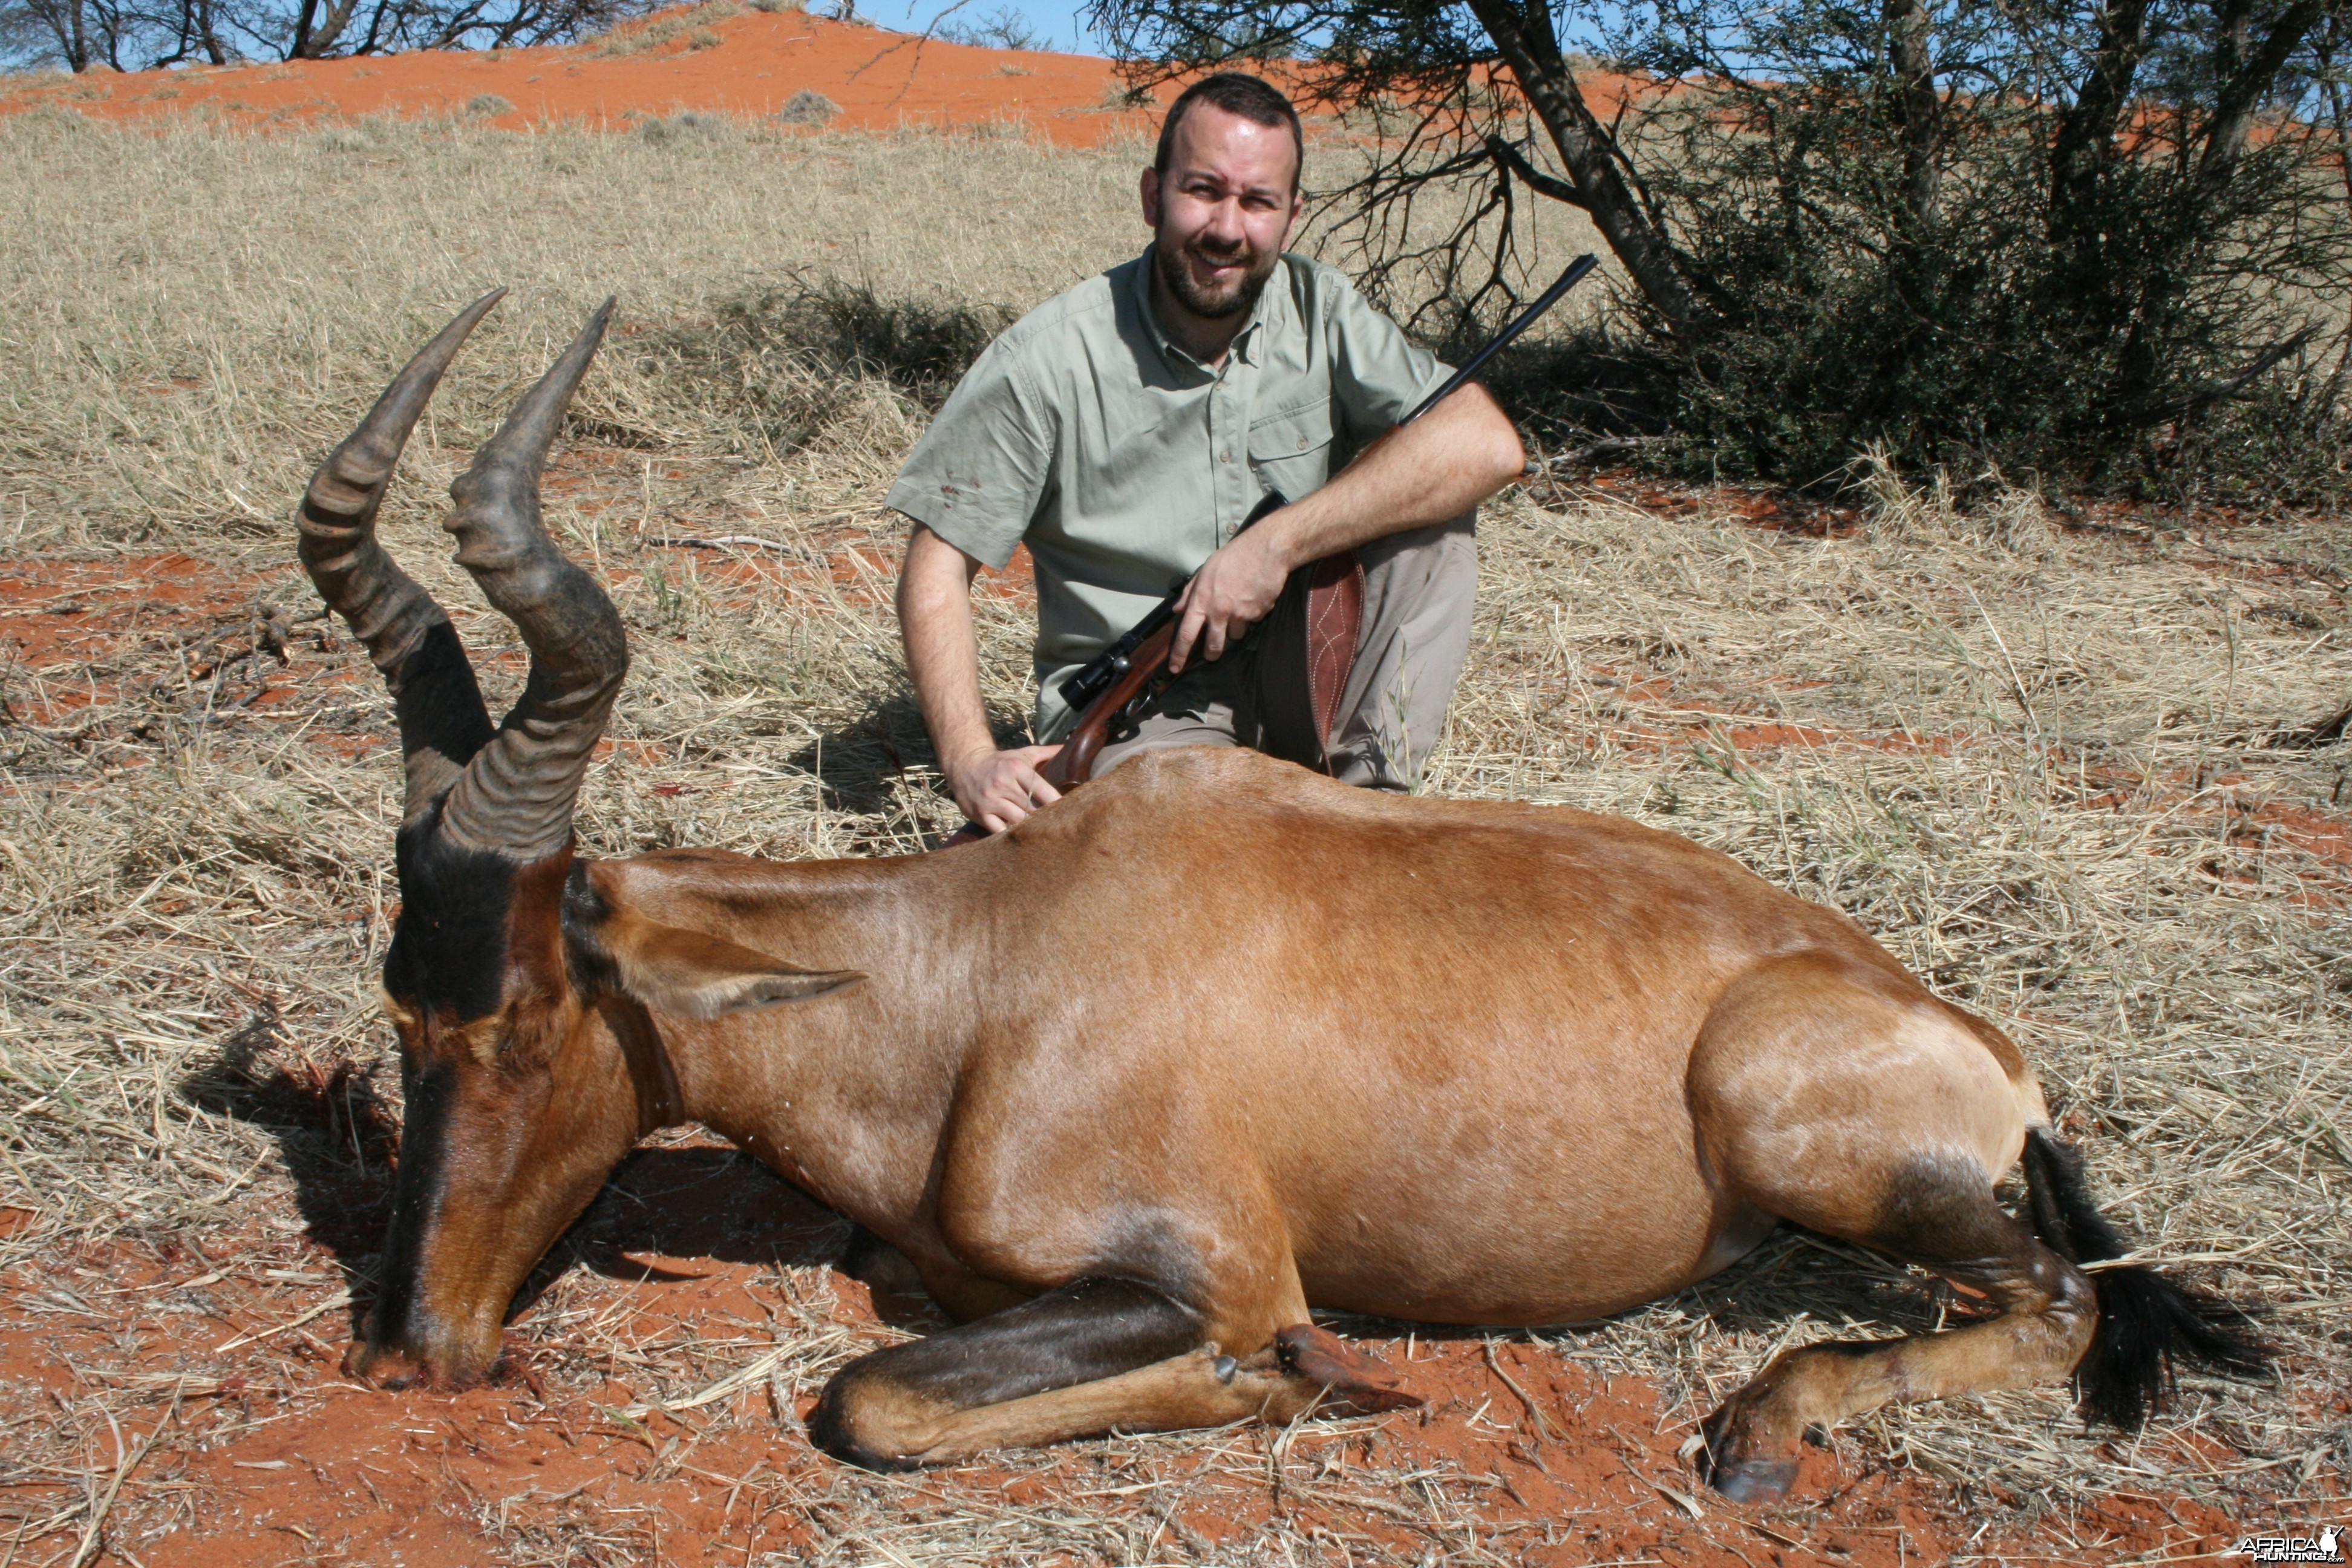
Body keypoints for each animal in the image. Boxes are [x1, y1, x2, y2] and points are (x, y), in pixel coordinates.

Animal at [308, 297, 2258, 1504]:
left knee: (2061, 1303)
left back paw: (1769, 1428)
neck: (989, 962)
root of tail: (1983, 1049)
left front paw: (1308, 1380)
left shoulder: (1213, 1267)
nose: (413, 1353)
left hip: (1807, 1135)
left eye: (519, 1016)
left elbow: (878, 1396)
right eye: (397, 1011)